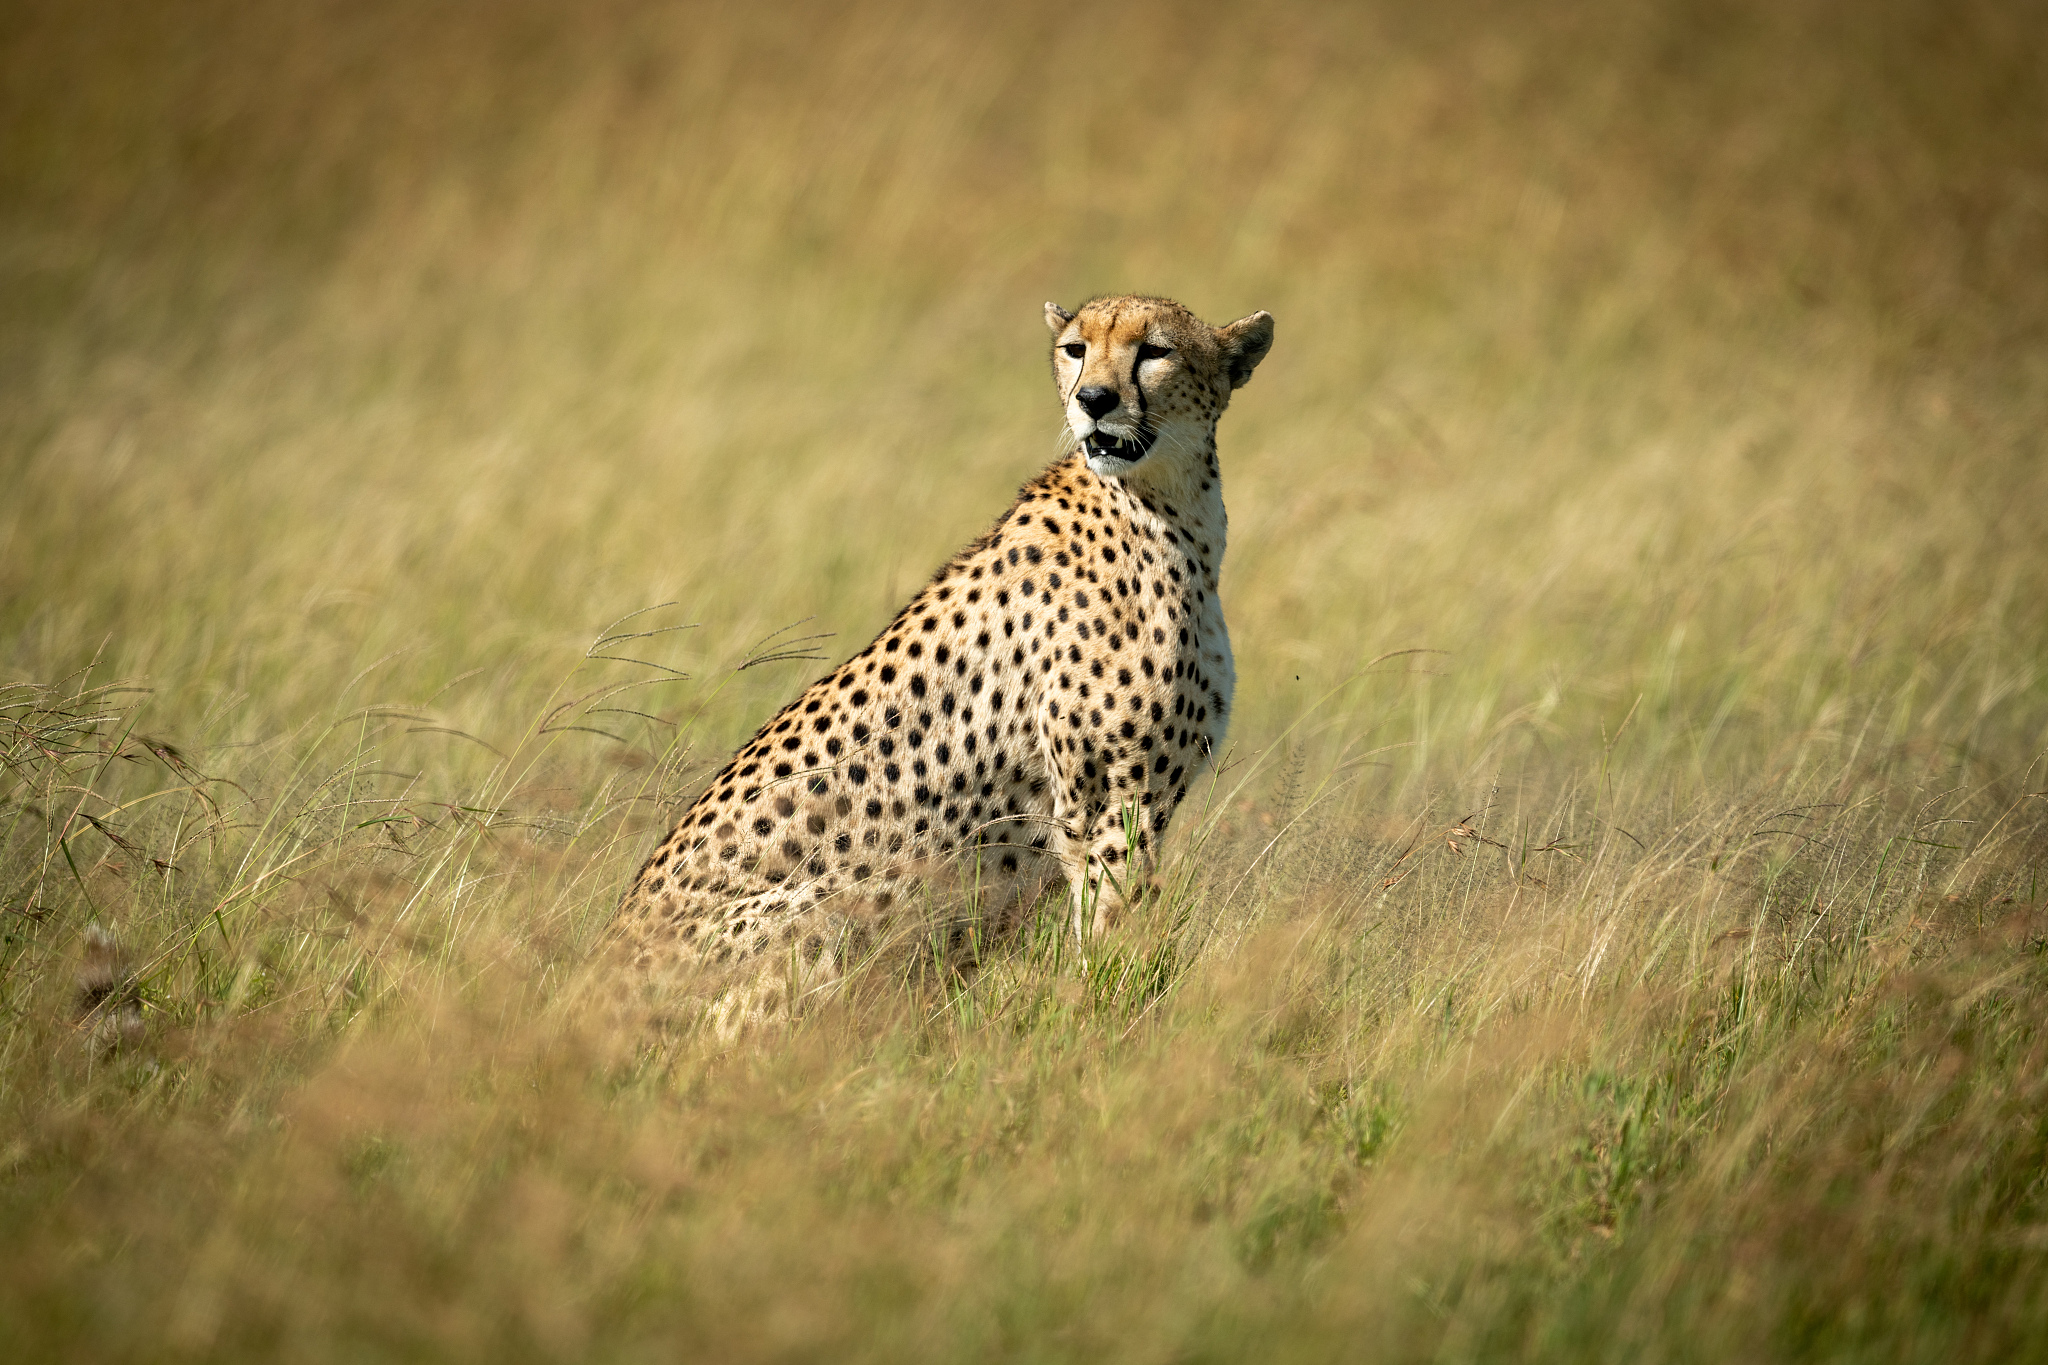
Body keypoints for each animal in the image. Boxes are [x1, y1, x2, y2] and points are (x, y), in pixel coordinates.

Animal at [611, 294, 1274, 1032]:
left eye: (1155, 350)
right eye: (1075, 349)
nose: (1094, 400)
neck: (1169, 502)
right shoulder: (1108, 805)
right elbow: (1113, 936)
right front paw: (1105, 1017)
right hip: (831, 908)